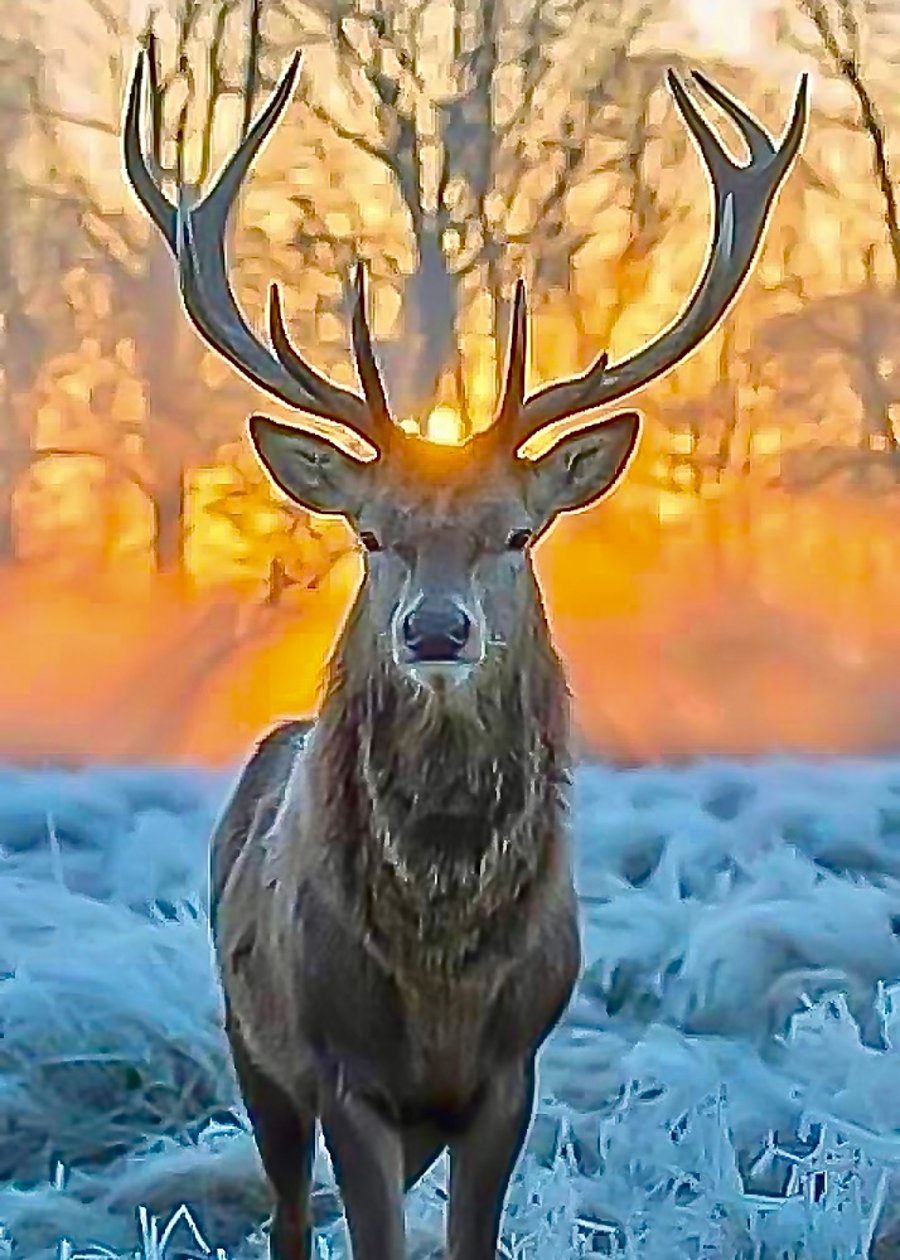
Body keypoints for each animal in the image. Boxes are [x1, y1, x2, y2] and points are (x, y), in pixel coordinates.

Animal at [121, 39, 806, 1260]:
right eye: (371, 531)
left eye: (519, 532)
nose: (436, 629)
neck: (439, 976)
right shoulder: (341, 1072)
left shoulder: (511, 1075)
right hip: (252, 1045)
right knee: (286, 1211)